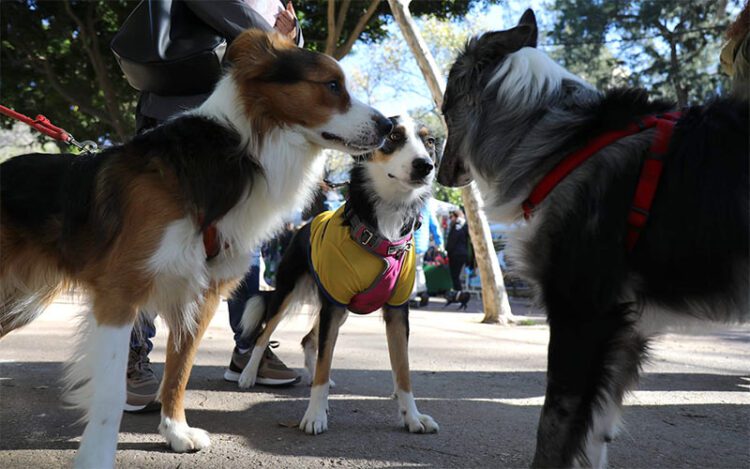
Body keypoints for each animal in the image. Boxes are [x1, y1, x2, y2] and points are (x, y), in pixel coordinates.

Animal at [0, 30, 396, 468]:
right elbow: (111, 392)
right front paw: (97, 456)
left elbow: (180, 370)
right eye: (331, 86)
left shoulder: (201, 295)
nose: (389, 126)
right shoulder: (120, 295)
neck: (242, 151)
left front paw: (175, 431)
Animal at [239, 114, 440, 436]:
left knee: (308, 340)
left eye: (429, 141)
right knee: (263, 335)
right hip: (288, 294)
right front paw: (314, 415)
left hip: (339, 309)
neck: (384, 222)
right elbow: (324, 361)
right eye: (393, 137)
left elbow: (403, 369)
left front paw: (412, 416)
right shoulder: (332, 306)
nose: (425, 165)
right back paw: (247, 374)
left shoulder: (395, 310)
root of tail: (303, 226)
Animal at [438, 7, 748, 468]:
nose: (436, 174)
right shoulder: (625, 329)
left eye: (443, 109)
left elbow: (554, 426)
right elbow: (596, 434)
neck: (558, 140)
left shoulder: (582, 312)